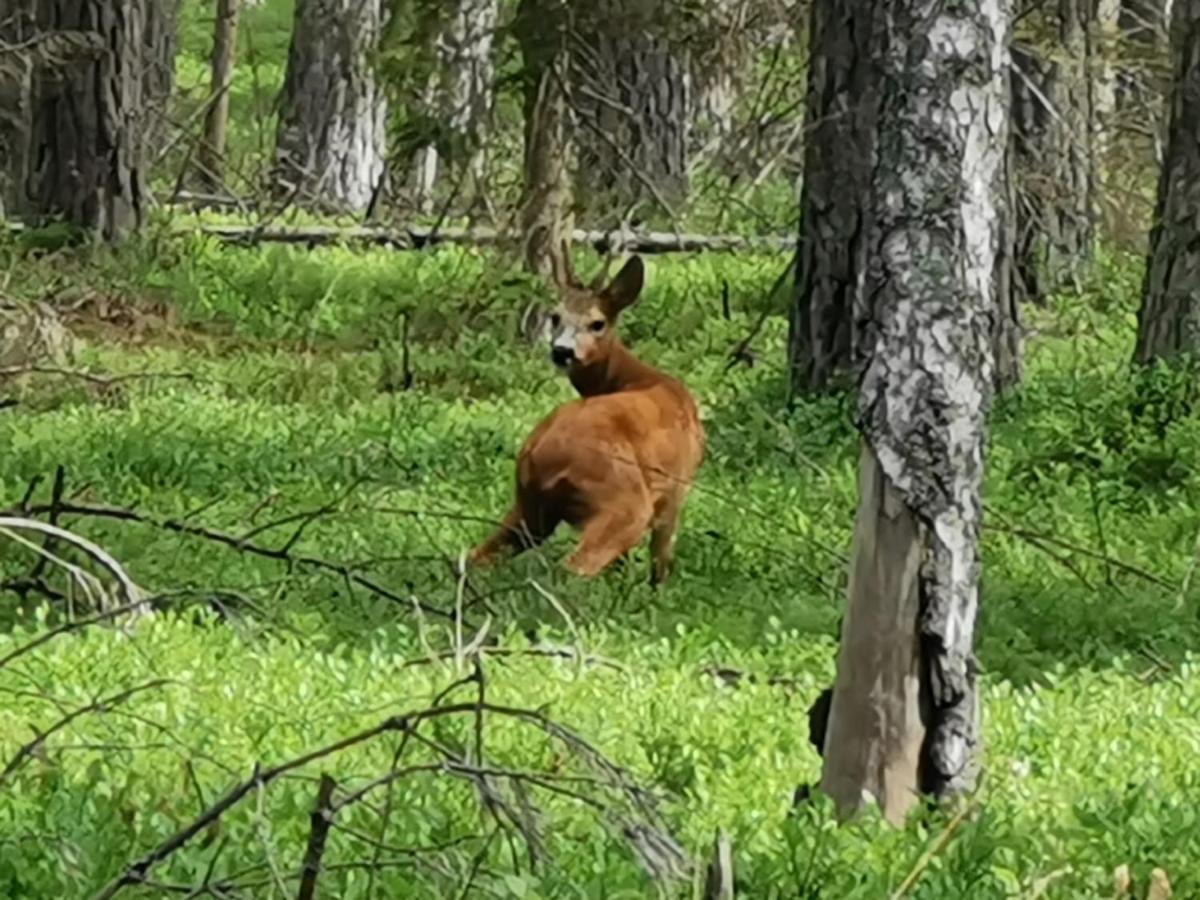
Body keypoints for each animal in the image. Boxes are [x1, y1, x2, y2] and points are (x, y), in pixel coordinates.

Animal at [470, 254, 700, 585]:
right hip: (623, 499)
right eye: (556, 317)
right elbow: (661, 559)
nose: (562, 351)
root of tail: (537, 452)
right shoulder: (676, 488)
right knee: (575, 567)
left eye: (597, 323)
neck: (636, 377)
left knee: (474, 556)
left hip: (529, 507)